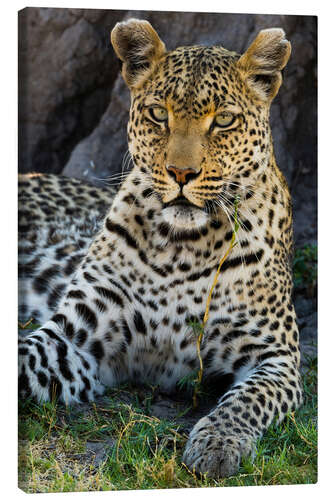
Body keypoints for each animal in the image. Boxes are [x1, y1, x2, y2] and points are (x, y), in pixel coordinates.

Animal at [18, 19, 304, 478]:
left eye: (224, 120)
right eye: (158, 114)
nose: (181, 173)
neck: (183, 247)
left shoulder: (278, 358)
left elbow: (247, 400)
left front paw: (217, 442)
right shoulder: (77, 336)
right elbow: (21, 356)